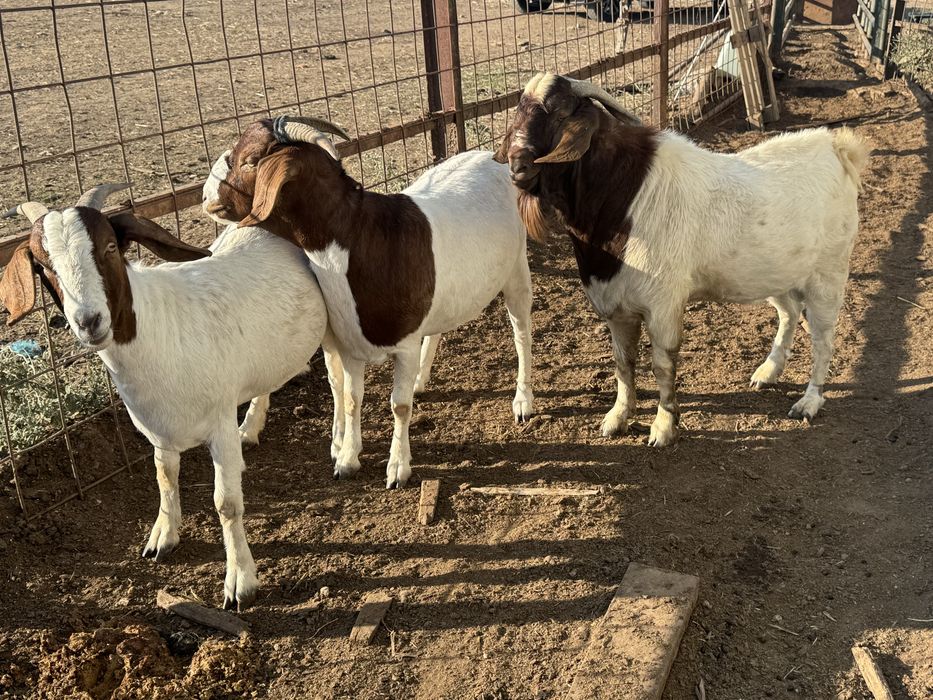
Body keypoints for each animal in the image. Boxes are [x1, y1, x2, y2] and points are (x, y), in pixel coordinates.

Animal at [0, 185, 330, 611]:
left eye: (110, 246)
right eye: (43, 266)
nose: (89, 322)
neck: (160, 329)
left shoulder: (218, 424)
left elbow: (226, 504)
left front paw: (241, 580)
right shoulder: (157, 428)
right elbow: (164, 477)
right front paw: (163, 536)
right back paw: (251, 428)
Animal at [204, 116, 534, 488]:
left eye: (249, 161)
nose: (206, 196)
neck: (361, 238)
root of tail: (492, 158)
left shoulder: (404, 345)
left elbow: (399, 406)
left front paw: (398, 468)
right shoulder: (349, 343)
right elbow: (351, 398)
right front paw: (347, 460)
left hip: (517, 267)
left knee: (522, 331)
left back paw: (523, 401)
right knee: (438, 327)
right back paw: (421, 381)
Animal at [495, 73, 869, 445]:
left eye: (560, 114)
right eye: (519, 112)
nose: (517, 166)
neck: (623, 198)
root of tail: (837, 149)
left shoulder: (663, 304)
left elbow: (662, 364)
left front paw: (663, 427)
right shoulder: (616, 306)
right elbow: (623, 362)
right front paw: (617, 418)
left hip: (828, 274)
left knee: (824, 338)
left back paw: (809, 401)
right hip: (776, 272)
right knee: (789, 312)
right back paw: (767, 372)